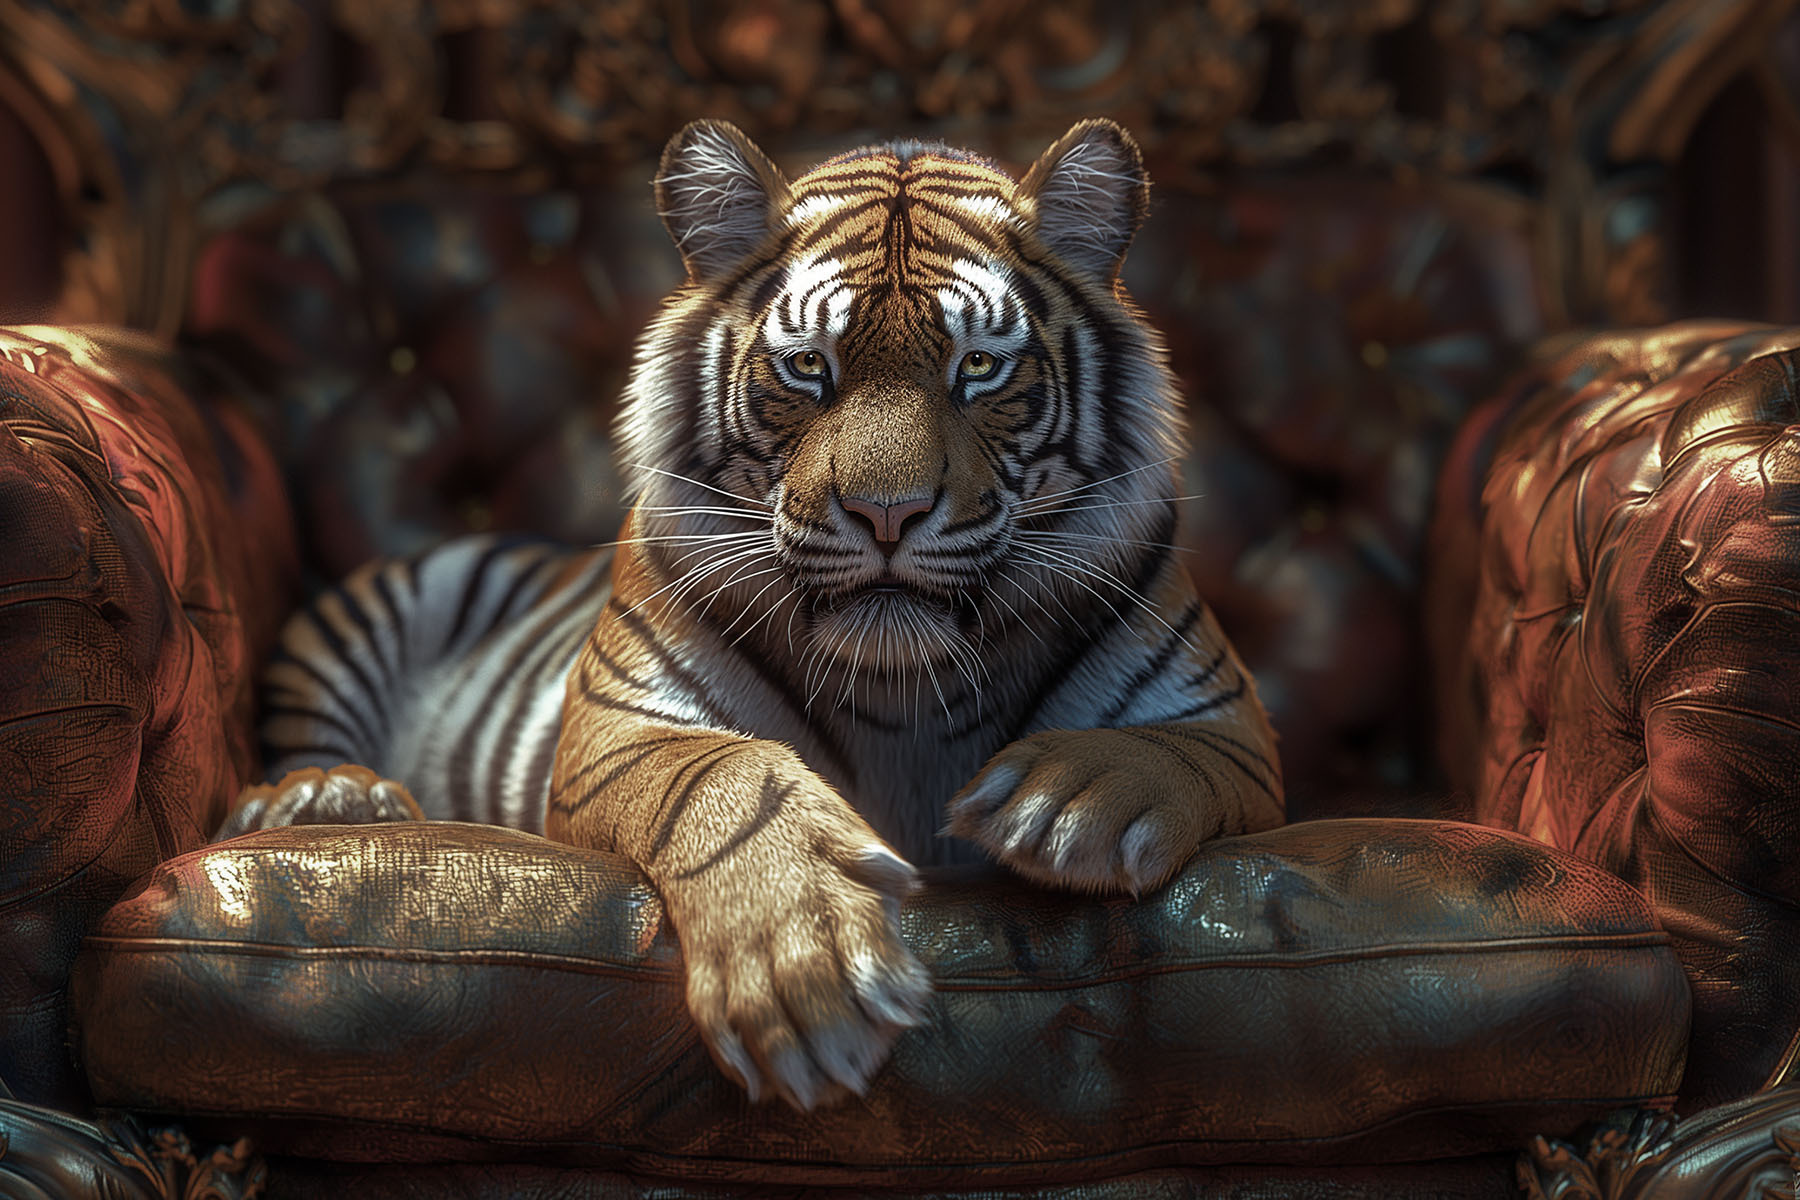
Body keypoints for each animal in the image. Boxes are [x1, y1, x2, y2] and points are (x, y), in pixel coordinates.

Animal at [221, 118, 1285, 1114]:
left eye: (980, 366)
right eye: (809, 367)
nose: (888, 512)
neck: (905, 687)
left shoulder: (1229, 728)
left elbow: (1160, 756)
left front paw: (1062, 802)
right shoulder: (620, 731)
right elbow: (731, 780)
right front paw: (805, 974)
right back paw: (330, 800)